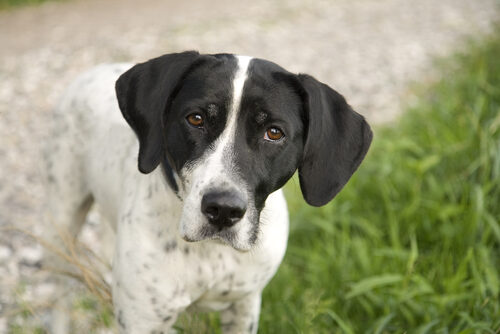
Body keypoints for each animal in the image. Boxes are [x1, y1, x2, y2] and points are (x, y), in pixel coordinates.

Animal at [43, 51, 372, 332]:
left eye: (274, 133)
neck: (211, 253)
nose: (223, 210)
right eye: (196, 119)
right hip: (63, 223)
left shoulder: (244, 307)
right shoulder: (144, 321)